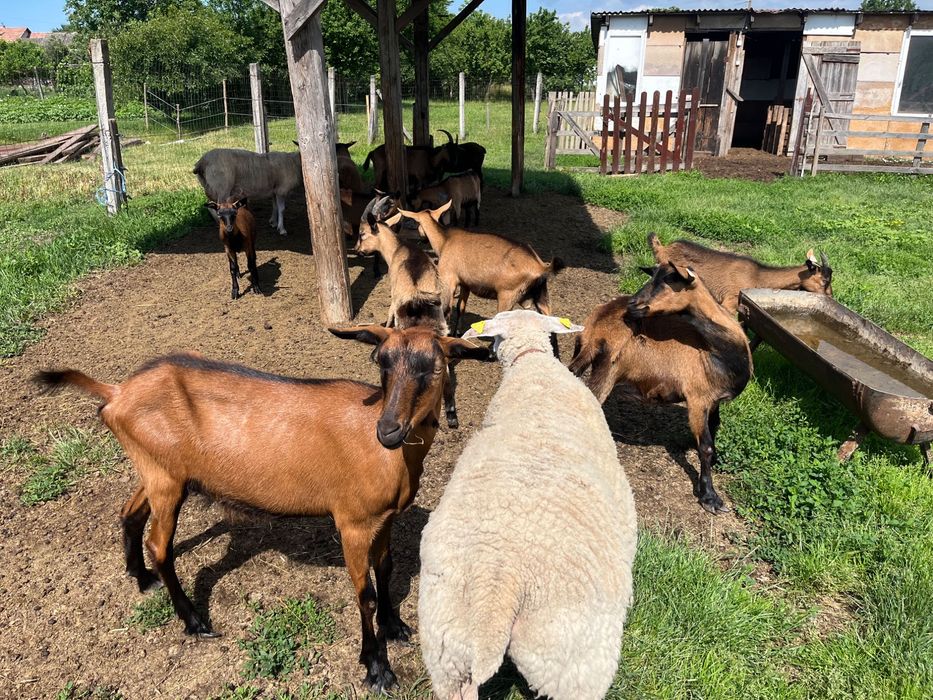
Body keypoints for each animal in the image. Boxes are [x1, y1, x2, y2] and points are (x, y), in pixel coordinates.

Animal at [33, 326, 490, 692]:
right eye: (382, 363)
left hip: (157, 470)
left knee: (130, 513)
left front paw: (394, 628)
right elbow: (366, 594)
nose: (389, 430)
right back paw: (194, 621)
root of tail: (117, 393)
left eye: (434, 368)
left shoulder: (385, 519)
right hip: (166, 481)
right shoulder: (354, 522)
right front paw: (376, 668)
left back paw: (142, 578)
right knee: (159, 543)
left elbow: (388, 567)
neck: (389, 455)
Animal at [397, 200, 565, 335]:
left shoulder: (449, 279)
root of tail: (540, 267)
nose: (422, 238)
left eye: (416, 224)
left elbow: (447, 309)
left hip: (507, 295)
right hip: (541, 294)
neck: (445, 241)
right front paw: (457, 332)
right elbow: (461, 307)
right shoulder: (466, 284)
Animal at [569, 261, 752, 514]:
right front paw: (710, 497)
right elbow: (705, 446)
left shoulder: (714, 400)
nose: (632, 305)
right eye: (652, 276)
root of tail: (592, 330)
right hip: (607, 369)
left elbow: (714, 427)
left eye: (669, 279)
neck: (716, 351)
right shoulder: (697, 398)